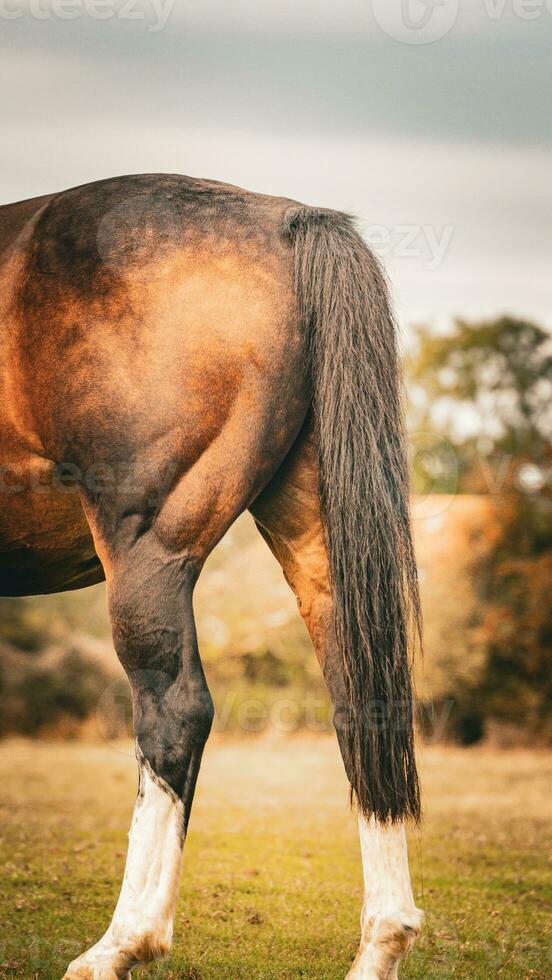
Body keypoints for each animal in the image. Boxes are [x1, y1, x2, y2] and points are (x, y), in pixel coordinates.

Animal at [0, 176, 422, 980]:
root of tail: (290, 223)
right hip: (316, 538)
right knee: (364, 706)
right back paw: (381, 939)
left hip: (148, 551)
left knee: (174, 713)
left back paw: (121, 943)